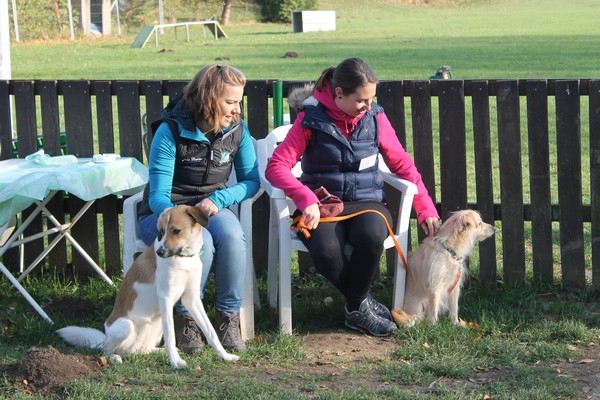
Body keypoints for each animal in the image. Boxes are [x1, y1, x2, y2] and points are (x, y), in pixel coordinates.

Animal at [57, 205, 239, 368]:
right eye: (161, 231)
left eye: (176, 230)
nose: (160, 253)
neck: (183, 258)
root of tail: (105, 338)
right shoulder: (166, 298)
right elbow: (171, 336)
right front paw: (176, 362)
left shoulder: (191, 299)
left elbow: (211, 332)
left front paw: (225, 355)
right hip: (125, 326)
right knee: (106, 350)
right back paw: (115, 358)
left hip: (156, 326)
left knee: (141, 350)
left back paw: (158, 351)